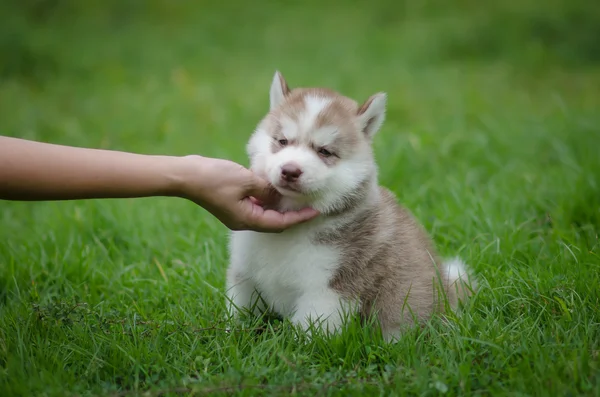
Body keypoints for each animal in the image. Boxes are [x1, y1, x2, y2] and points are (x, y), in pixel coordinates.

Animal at [226, 70, 478, 340]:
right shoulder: (244, 272)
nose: (290, 171)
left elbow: (307, 331)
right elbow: (237, 311)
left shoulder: (330, 289)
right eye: (282, 141)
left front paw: (293, 348)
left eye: (325, 151)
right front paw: (230, 335)